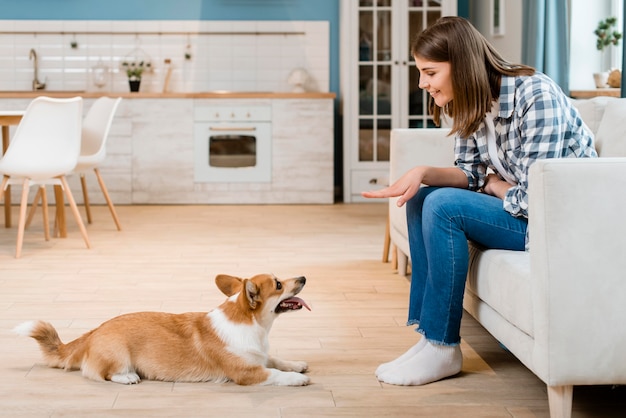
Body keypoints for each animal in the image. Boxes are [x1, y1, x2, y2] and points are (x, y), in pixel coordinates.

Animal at [16, 274, 312, 386]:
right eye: (278, 284)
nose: (303, 277)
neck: (253, 326)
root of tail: (92, 333)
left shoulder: (259, 357)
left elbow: (276, 360)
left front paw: (297, 365)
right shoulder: (247, 373)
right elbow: (275, 373)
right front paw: (297, 379)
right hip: (118, 354)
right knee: (102, 374)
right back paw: (128, 377)